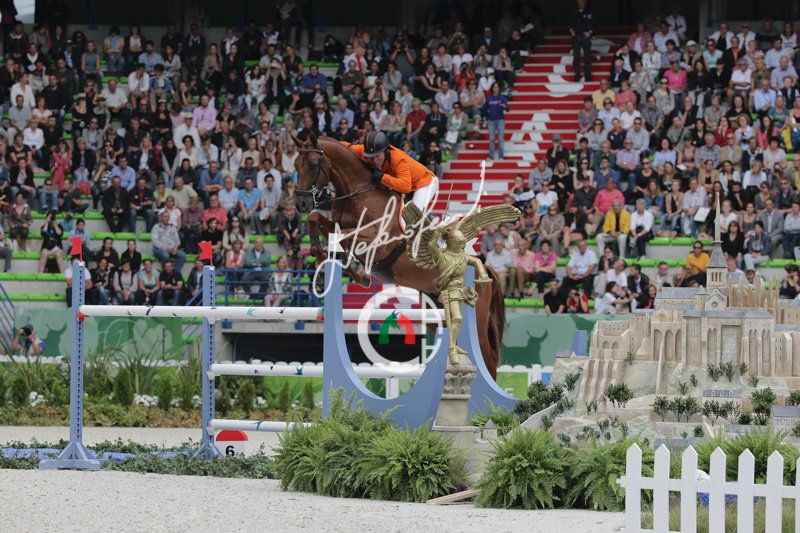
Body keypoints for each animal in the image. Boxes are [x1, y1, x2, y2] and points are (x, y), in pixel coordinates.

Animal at [291, 135, 507, 378]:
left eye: (313, 164)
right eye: (295, 165)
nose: (300, 203)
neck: (359, 193)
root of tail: (485, 269)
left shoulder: (380, 240)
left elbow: (346, 238)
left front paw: (358, 272)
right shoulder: (335, 223)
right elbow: (316, 219)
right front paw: (320, 254)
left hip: (477, 321)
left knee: (488, 359)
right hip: (438, 312)